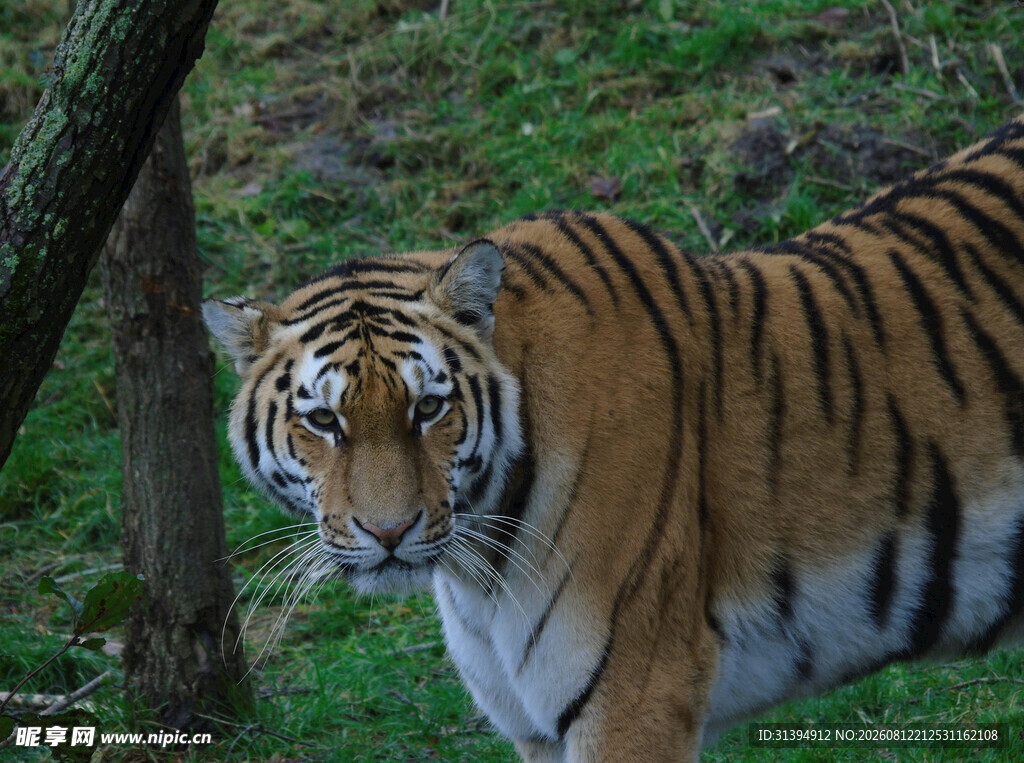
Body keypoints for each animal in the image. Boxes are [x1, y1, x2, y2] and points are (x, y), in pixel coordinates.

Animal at [203, 113, 1024, 761]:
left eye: (429, 408)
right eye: (324, 421)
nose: (389, 532)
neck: (479, 567)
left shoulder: (636, 695)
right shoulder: (535, 726)